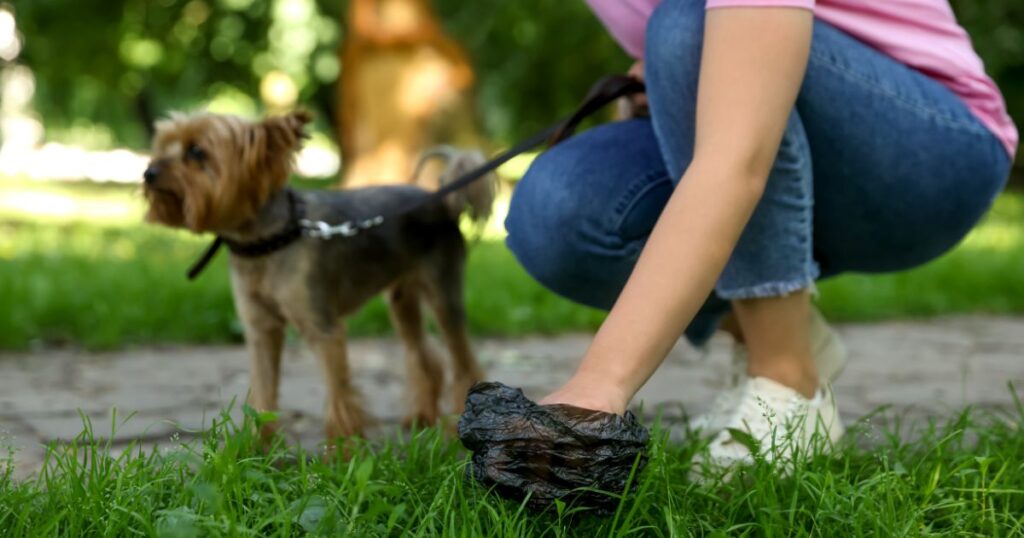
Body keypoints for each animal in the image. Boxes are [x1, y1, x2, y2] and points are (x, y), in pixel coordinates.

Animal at [142, 110, 493, 440]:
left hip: (442, 293)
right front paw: (257, 447)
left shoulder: (323, 329)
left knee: (464, 362)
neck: (267, 241)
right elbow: (263, 393)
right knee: (424, 356)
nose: (148, 172)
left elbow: (339, 395)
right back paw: (421, 418)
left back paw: (456, 426)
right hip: (402, 300)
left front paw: (341, 451)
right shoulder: (261, 330)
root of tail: (443, 200)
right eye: (162, 146)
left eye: (197, 151)